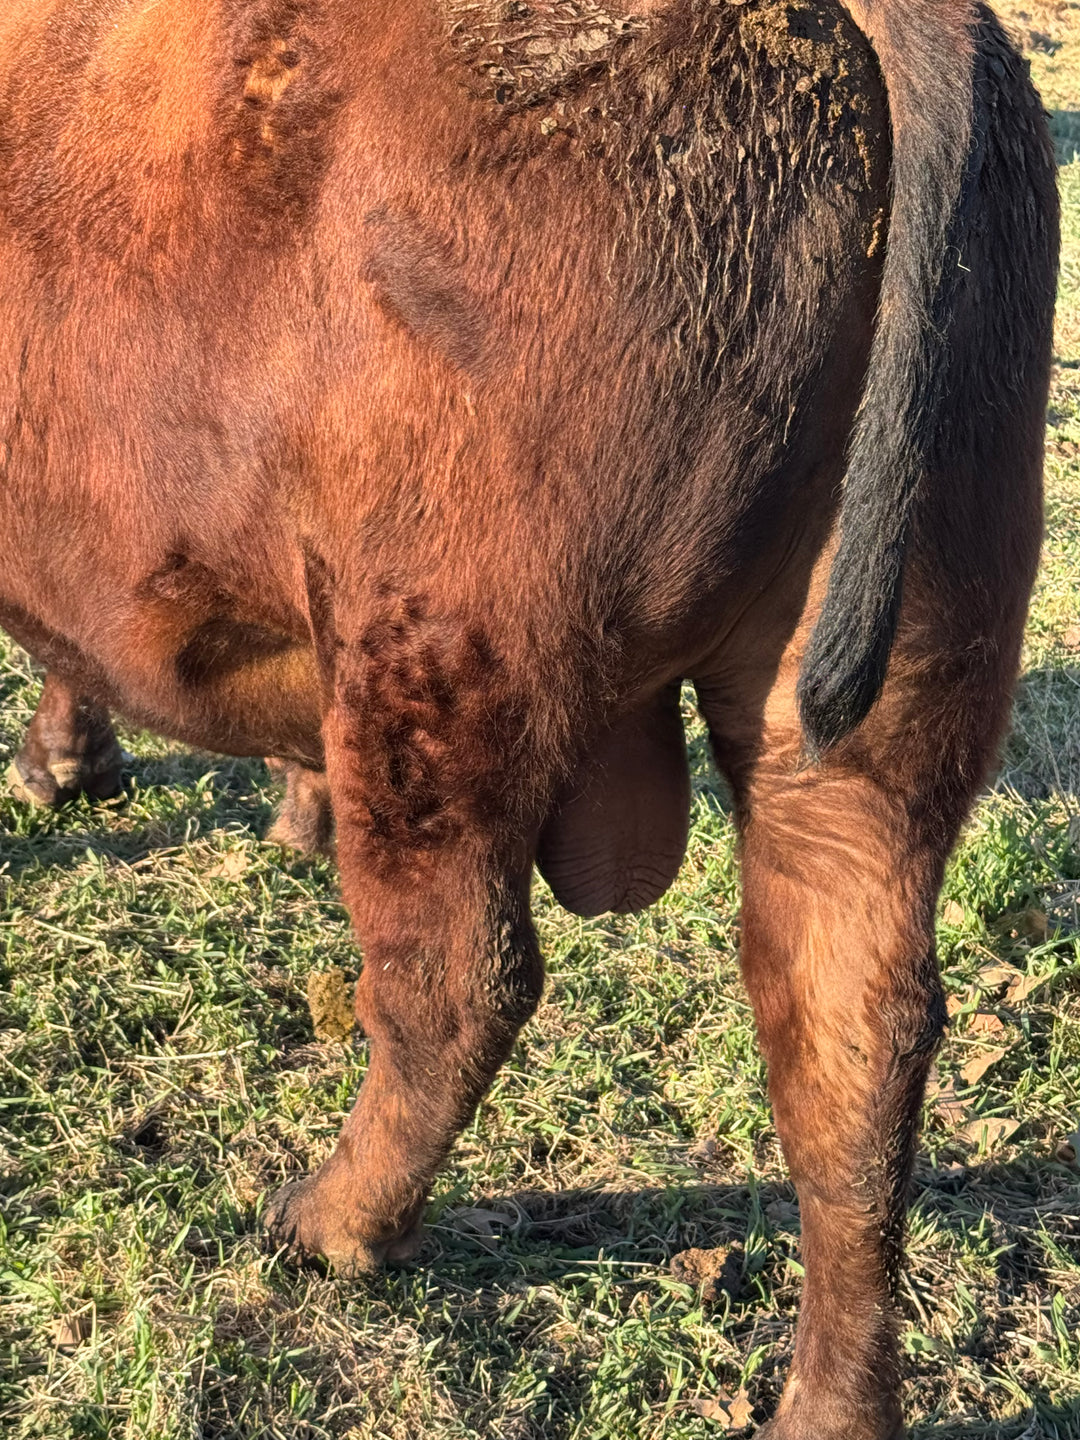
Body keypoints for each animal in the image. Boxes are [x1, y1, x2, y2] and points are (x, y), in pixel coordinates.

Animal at [0, 1, 1059, 1434]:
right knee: (852, 1044)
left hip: (435, 673)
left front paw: (70, 768)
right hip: (865, 734)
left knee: (458, 983)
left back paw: (331, 1223)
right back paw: (829, 1402)